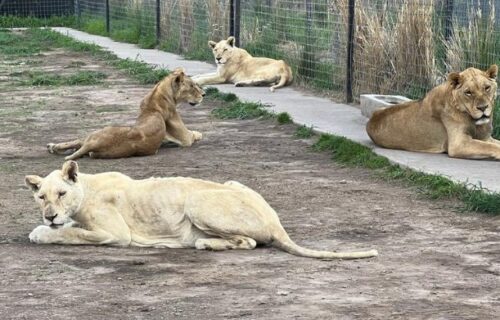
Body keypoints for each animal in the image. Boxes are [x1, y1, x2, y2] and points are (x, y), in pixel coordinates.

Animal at [23, 161, 376, 262]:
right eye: (40, 197)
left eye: (61, 193)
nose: (49, 215)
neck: (85, 188)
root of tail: (277, 223)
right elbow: (69, 230)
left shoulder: (115, 234)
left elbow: (71, 233)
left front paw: (41, 232)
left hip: (195, 201)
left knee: (248, 242)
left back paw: (203, 243)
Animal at [46, 69, 204, 161]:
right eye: (192, 86)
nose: (204, 94)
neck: (155, 97)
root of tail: (94, 143)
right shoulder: (185, 137)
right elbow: (194, 134)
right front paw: (199, 134)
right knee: (79, 141)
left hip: (93, 139)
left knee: (78, 142)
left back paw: (53, 147)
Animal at [366, 64, 498, 160]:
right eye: (468, 92)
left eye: (487, 88)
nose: (483, 107)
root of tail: (371, 118)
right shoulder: (458, 144)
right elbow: (490, 147)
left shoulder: (485, 138)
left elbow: (493, 144)